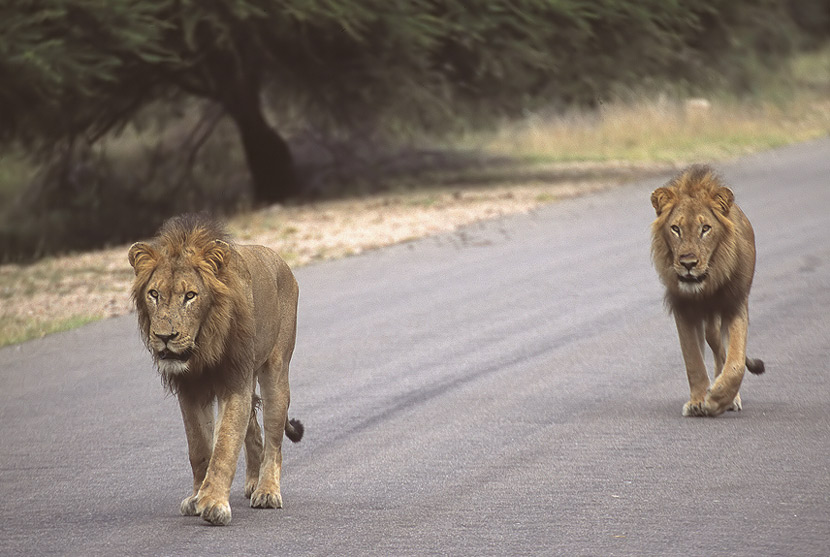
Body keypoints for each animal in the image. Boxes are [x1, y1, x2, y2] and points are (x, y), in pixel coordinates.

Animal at [132, 211, 308, 524]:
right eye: (153, 294)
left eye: (190, 296)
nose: (165, 337)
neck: (204, 345)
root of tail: (279, 259)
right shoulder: (190, 390)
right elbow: (200, 449)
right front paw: (196, 497)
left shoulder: (235, 382)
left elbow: (225, 445)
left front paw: (213, 503)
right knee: (254, 430)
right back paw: (252, 483)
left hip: (275, 372)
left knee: (274, 438)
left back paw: (266, 491)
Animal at [648, 165, 768, 416]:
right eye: (675, 229)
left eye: (705, 229)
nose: (688, 263)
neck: (705, 286)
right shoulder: (683, 309)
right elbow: (693, 360)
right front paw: (697, 402)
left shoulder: (735, 305)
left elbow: (735, 361)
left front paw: (718, 399)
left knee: (723, 351)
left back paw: (729, 398)